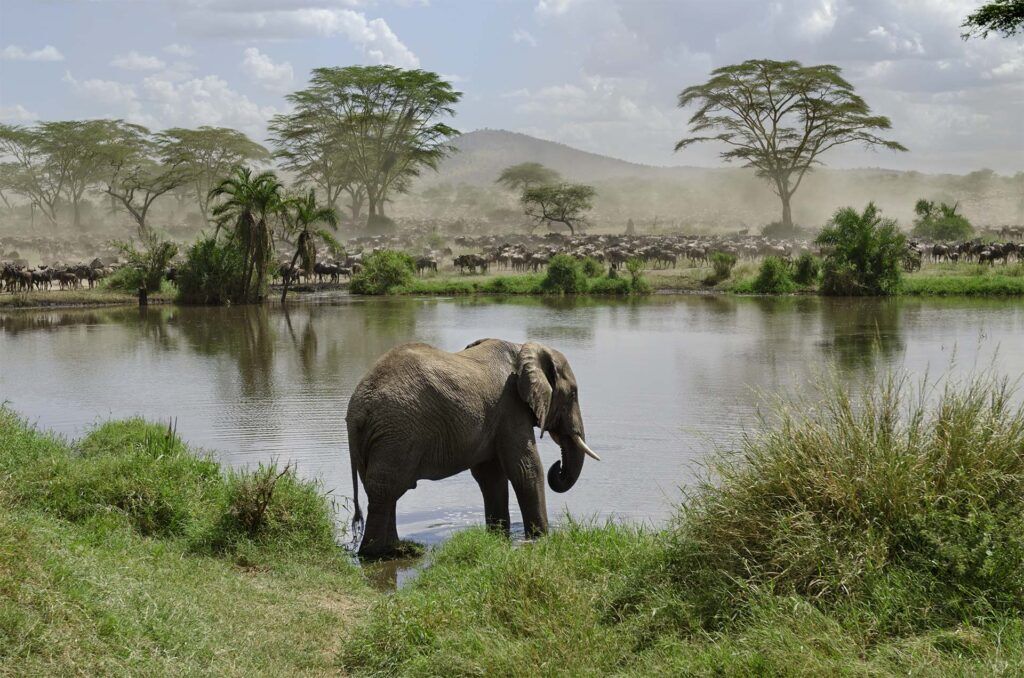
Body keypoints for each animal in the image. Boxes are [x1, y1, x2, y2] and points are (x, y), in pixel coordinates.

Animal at [346, 337, 598, 557]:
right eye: (573, 394)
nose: (558, 466)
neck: (523, 348)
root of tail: (357, 409)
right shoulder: (510, 406)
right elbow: (526, 469)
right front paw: (541, 539)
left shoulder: (496, 415)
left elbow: (491, 476)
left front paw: (498, 537)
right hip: (397, 431)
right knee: (386, 489)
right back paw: (379, 553)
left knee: (383, 491)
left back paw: (397, 549)